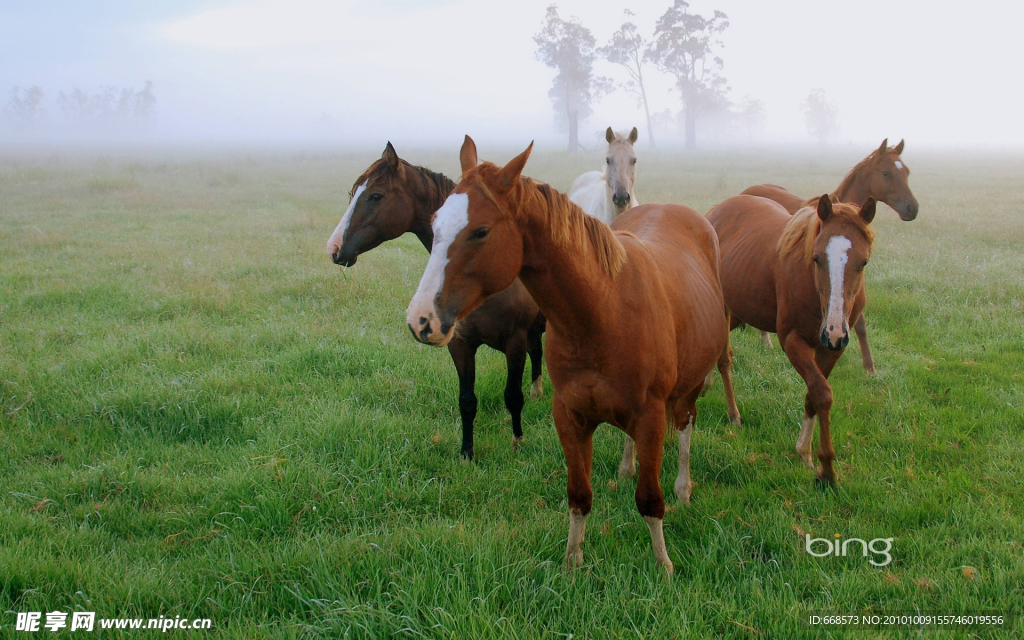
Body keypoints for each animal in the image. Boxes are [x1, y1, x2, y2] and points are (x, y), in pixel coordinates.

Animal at [329, 139, 552, 458]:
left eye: (375, 195)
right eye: (353, 193)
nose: (335, 248)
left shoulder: (514, 342)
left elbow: (512, 396)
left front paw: (518, 441)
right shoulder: (460, 344)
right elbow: (467, 401)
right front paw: (467, 453)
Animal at [407, 136, 729, 573]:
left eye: (481, 231)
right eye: (435, 223)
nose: (421, 319)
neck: (602, 310)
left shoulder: (650, 415)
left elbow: (650, 499)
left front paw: (663, 565)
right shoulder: (570, 416)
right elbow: (579, 495)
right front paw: (572, 562)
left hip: (689, 386)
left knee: (684, 426)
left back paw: (682, 487)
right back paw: (627, 467)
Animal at [708, 194, 876, 483]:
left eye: (863, 261)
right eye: (817, 258)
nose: (833, 331)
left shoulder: (831, 349)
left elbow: (813, 394)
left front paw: (805, 454)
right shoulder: (792, 341)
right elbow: (822, 393)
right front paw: (826, 469)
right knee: (724, 360)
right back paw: (733, 415)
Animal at [741, 137, 917, 372]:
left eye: (906, 171)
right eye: (886, 173)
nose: (912, 208)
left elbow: (859, 323)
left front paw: (870, 367)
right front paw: (869, 366)